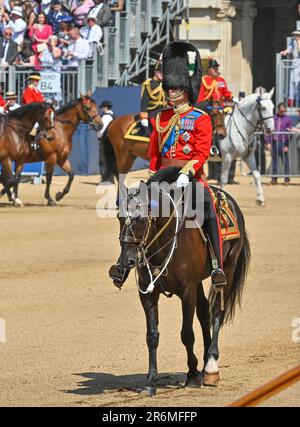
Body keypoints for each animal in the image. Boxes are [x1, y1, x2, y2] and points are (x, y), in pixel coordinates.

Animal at [109, 166, 250, 394]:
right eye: (120, 218)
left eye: (140, 219)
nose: (127, 260)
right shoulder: (147, 293)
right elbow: (152, 336)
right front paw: (151, 382)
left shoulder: (186, 291)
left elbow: (186, 334)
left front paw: (192, 374)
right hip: (199, 282)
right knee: (204, 312)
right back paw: (206, 363)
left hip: (227, 271)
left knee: (216, 313)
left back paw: (210, 367)